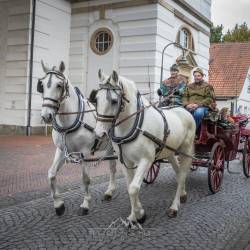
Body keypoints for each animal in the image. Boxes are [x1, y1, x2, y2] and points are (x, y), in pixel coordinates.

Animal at [38, 61, 116, 216]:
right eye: (42, 85)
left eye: (59, 85)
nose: (46, 116)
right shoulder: (61, 150)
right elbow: (51, 174)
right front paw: (59, 204)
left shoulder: (85, 153)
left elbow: (85, 179)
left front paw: (85, 205)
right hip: (110, 147)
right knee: (112, 167)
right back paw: (109, 192)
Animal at [94, 70, 195, 223]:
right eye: (96, 99)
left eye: (114, 101)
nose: (99, 133)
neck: (133, 125)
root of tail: (184, 110)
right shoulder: (125, 161)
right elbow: (130, 186)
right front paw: (135, 215)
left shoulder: (146, 160)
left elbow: (133, 188)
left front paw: (139, 214)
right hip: (170, 152)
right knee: (178, 173)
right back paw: (183, 194)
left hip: (186, 150)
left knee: (183, 174)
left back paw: (174, 207)